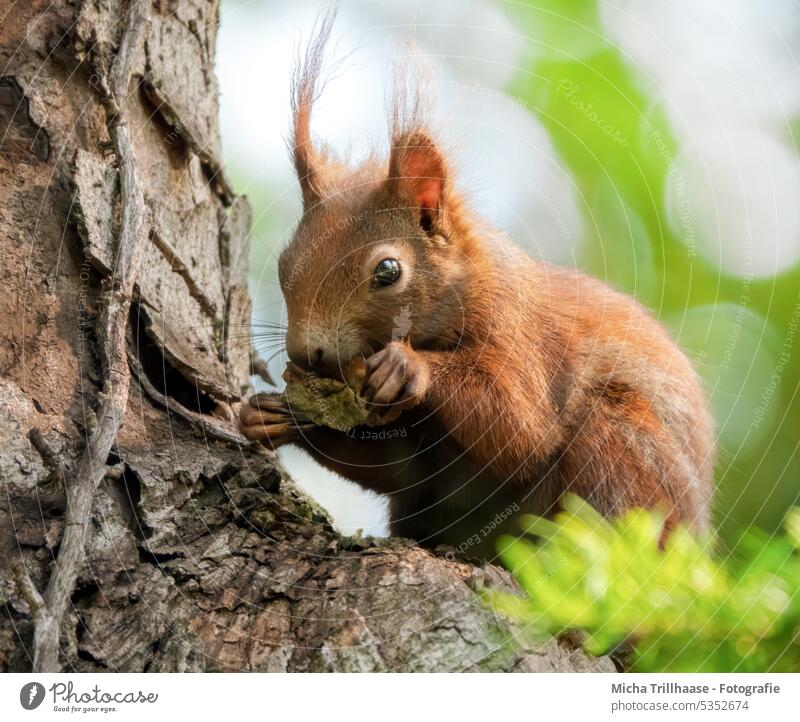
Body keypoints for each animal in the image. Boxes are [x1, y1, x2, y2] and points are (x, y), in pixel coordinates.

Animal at [236, 18, 712, 556]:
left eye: (387, 271)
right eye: (284, 265)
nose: (305, 353)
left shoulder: (519, 333)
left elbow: (521, 428)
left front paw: (408, 367)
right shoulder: (420, 459)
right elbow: (400, 470)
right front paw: (271, 416)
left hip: (622, 447)